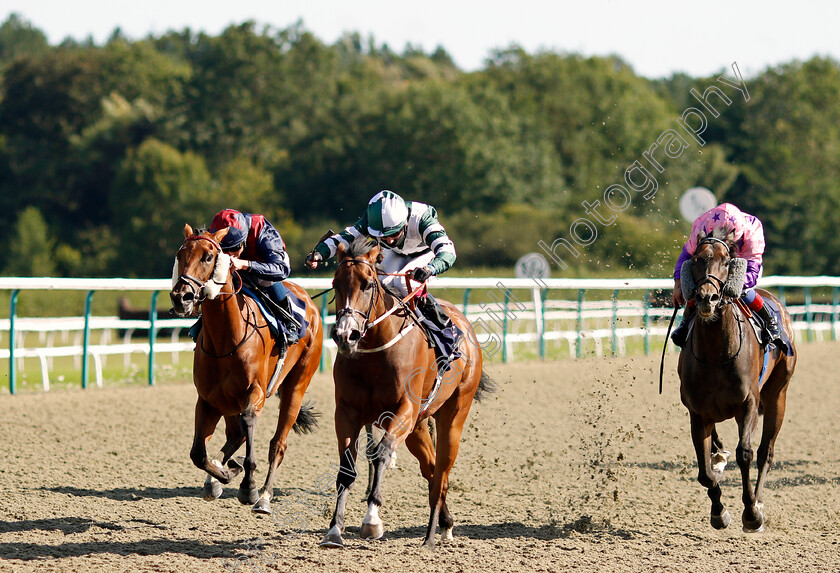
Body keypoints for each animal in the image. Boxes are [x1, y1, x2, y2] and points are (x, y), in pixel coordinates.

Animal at [171, 223, 324, 512]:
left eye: (209, 256)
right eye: (179, 254)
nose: (181, 297)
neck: (225, 340)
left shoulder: (254, 394)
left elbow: (249, 424)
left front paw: (249, 486)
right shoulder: (207, 400)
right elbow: (198, 453)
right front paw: (225, 472)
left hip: (296, 386)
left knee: (277, 443)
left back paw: (264, 496)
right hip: (227, 402)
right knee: (235, 436)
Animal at [322, 238, 492, 548]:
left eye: (367, 284)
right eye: (335, 283)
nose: (345, 335)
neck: (375, 352)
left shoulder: (404, 409)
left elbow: (382, 454)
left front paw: (372, 520)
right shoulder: (347, 412)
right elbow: (347, 468)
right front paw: (334, 530)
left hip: (454, 413)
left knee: (442, 471)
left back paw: (431, 536)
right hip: (418, 425)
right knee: (431, 468)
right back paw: (445, 523)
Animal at [680, 228, 796, 532]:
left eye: (726, 261)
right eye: (696, 260)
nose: (707, 298)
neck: (715, 354)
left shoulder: (749, 404)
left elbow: (746, 453)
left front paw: (751, 513)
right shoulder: (697, 412)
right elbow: (705, 472)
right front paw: (719, 512)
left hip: (778, 394)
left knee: (767, 451)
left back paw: (758, 501)